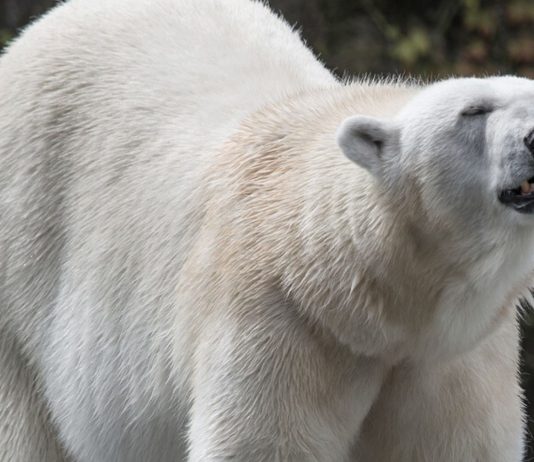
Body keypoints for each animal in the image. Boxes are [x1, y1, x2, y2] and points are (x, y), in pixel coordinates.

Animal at [1, 0, 534, 460]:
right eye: (473, 111)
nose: (532, 137)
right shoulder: (282, 323)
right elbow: (266, 444)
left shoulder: (455, 355)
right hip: (22, 280)